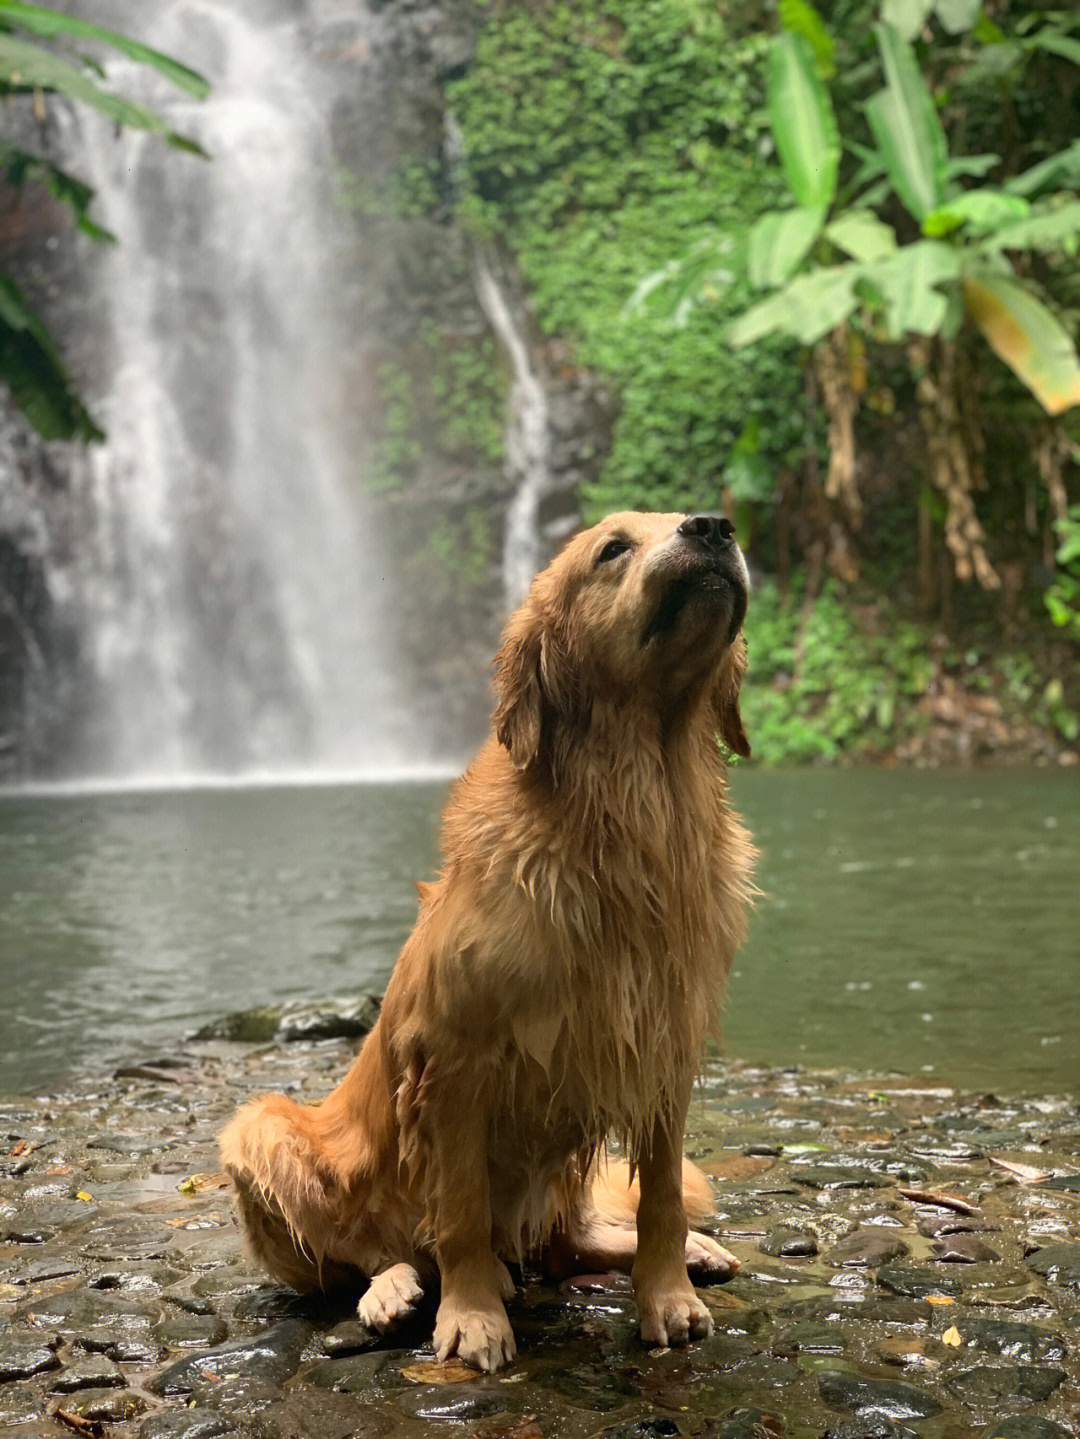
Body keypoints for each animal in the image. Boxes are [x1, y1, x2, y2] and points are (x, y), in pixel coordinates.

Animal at [221, 509, 753, 1369]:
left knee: (570, 1243)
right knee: (367, 1255)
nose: (713, 526)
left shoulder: (660, 1049)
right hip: (259, 1129)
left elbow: (664, 1197)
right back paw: (398, 1289)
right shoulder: (455, 1062)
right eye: (612, 548)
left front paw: (667, 1294)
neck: (630, 810)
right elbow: (462, 1211)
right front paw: (472, 1315)